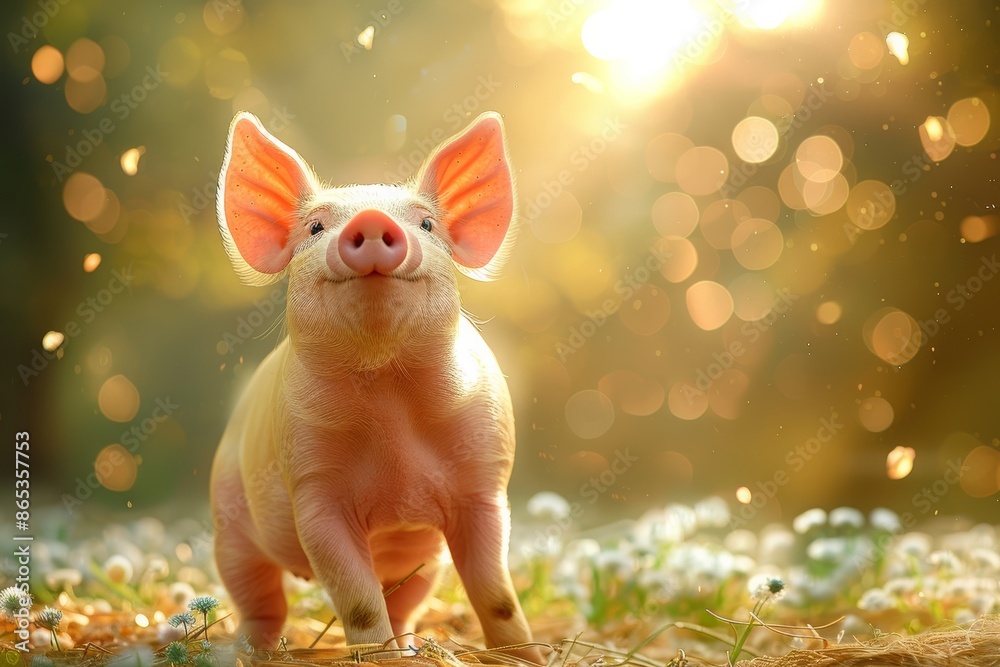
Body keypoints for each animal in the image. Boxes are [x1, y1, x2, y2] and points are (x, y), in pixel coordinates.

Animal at [209, 110, 541, 663]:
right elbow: (359, 603)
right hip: (227, 523)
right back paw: (247, 651)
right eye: (316, 227)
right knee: (260, 600)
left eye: (426, 224)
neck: (390, 402)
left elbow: (497, 596)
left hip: (425, 564)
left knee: (405, 602)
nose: (368, 219)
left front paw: (528, 657)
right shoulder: (313, 488)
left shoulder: (486, 482)